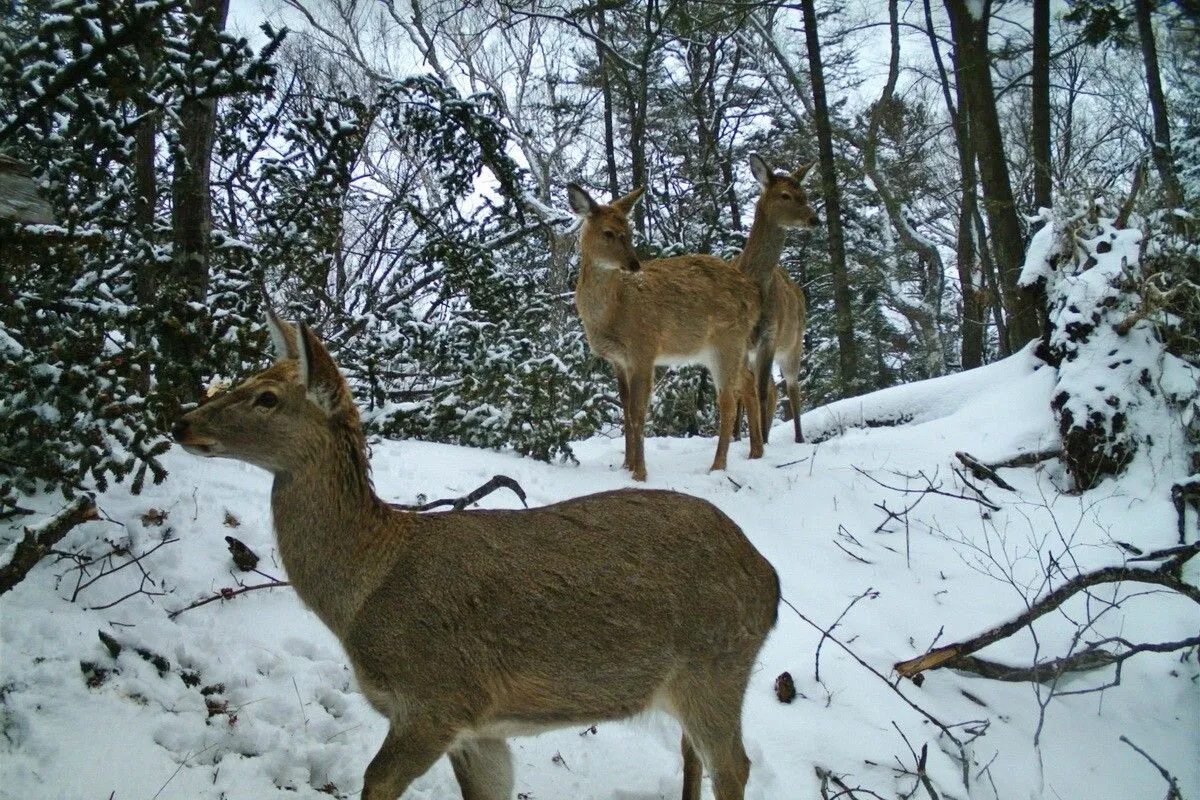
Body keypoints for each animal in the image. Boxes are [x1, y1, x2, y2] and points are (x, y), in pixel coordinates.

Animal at [174, 311, 782, 800]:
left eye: (267, 398)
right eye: (247, 379)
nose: (181, 421)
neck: (366, 586)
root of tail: (768, 578)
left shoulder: (437, 697)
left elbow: (374, 781)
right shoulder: (480, 730)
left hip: (714, 664)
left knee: (733, 765)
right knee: (693, 756)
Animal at [566, 182, 763, 482]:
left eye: (629, 231)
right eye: (608, 232)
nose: (634, 264)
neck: (613, 311)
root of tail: (754, 294)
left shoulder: (644, 349)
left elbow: (638, 412)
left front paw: (640, 473)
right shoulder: (618, 360)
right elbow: (625, 410)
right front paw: (626, 465)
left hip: (726, 339)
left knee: (727, 402)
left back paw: (718, 466)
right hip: (721, 348)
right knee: (748, 380)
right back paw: (756, 452)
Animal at [729, 155, 825, 443]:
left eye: (805, 194)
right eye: (785, 195)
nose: (814, 219)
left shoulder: (770, 334)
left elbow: (759, 391)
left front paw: (762, 442)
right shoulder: (740, 339)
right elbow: (741, 392)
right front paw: (740, 438)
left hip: (793, 342)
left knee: (792, 387)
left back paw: (798, 438)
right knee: (771, 388)